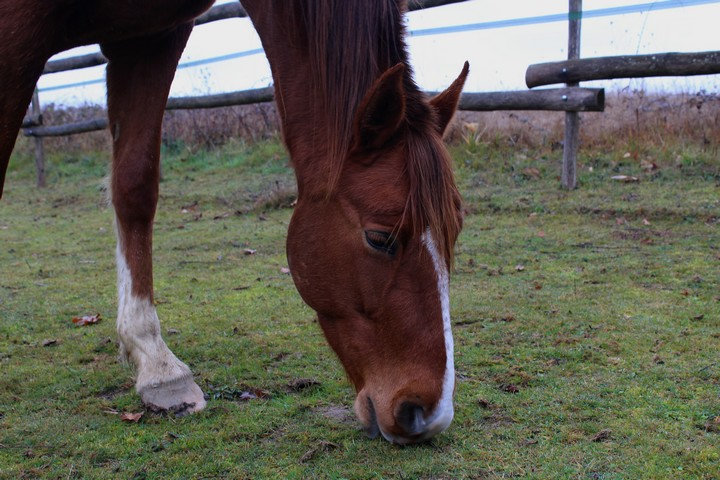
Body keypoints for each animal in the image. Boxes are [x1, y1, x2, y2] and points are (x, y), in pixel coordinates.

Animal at [0, 0, 466, 444]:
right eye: (380, 238)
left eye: (454, 232)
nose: (429, 415)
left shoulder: (153, 38)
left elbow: (135, 186)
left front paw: (158, 367)